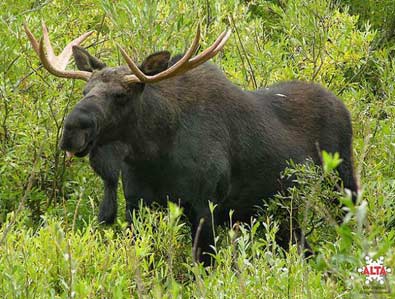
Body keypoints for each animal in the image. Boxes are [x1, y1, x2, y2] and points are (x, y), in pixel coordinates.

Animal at [24, 21, 358, 266]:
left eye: (121, 95)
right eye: (85, 90)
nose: (72, 130)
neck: (153, 154)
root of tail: (343, 106)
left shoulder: (203, 206)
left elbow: (204, 266)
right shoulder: (136, 205)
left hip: (342, 185)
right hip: (279, 214)